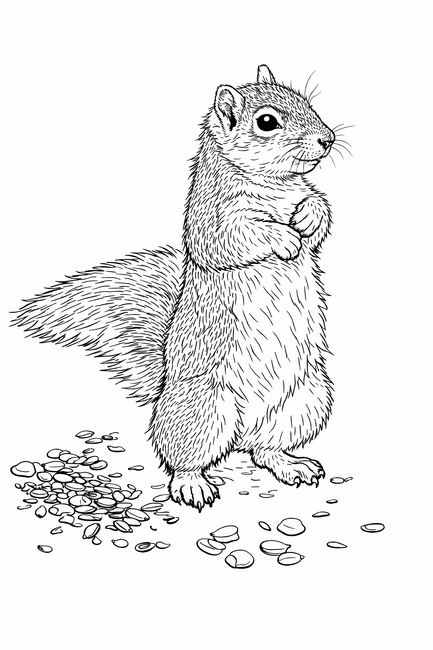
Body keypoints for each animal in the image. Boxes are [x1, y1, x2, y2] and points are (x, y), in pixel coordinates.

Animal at [13, 65, 336, 510]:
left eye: (308, 103)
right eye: (267, 122)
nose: (328, 138)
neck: (274, 184)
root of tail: (240, 433)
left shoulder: (303, 193)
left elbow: (318, 208)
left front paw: (307, 219)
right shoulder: (212, 218)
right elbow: (231, 239)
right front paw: (284, 238)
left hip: (304, 402)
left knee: (265, 448)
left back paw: (291, 465)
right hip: (204, 410)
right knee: (185, 457)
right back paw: (192, 484)